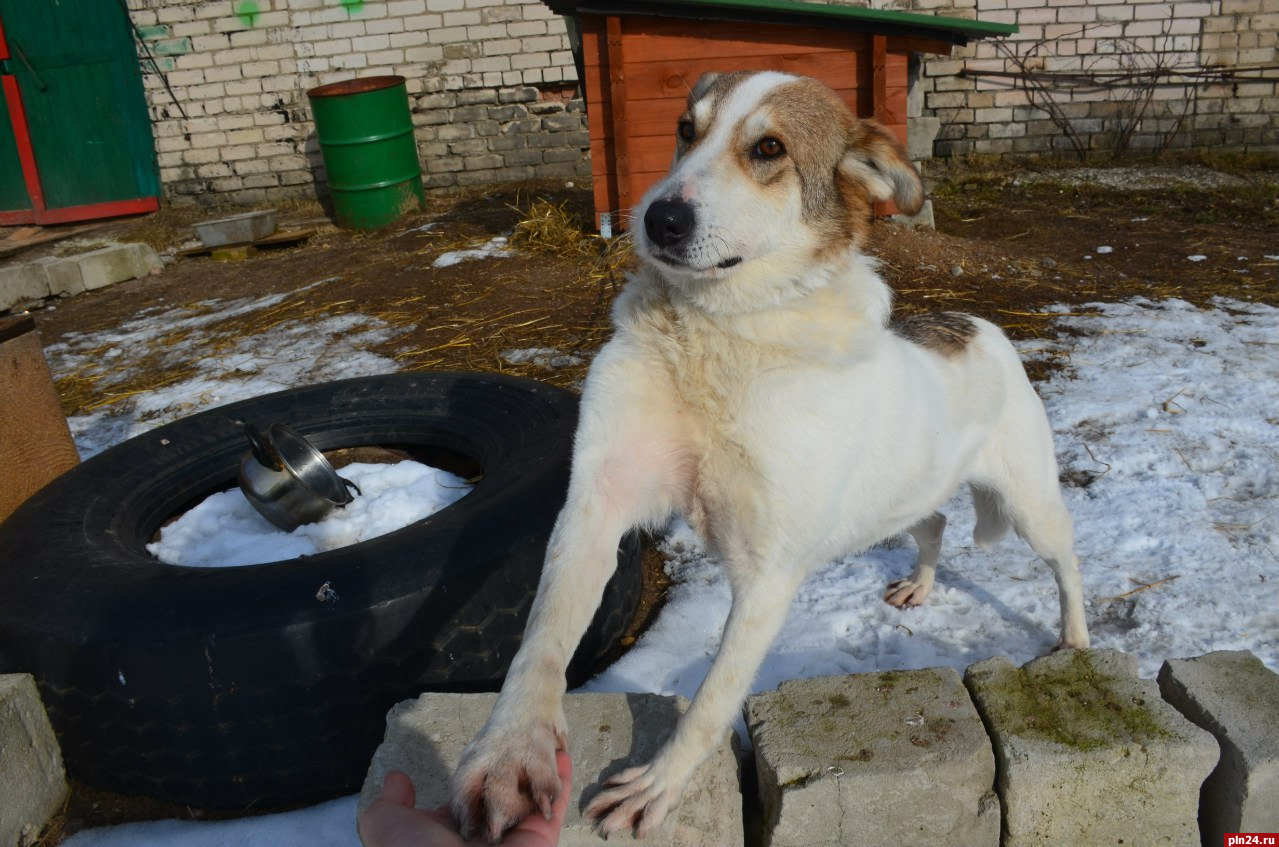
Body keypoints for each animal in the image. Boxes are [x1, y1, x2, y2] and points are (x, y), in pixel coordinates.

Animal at [450, 71, 1089, 844]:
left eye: (768, 149)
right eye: (685, 128)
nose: (658, 219)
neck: (717, 333)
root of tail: (977, 323)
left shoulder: (767, 574)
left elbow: (711, 698)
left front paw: (660, 783)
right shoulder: (596, 505)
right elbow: (540, 642)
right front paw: (510, 751)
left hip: (1029, 504)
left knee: (1067, 560)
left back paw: (1075, 640)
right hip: (900, 493)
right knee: (933, 522)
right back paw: (919, 585)